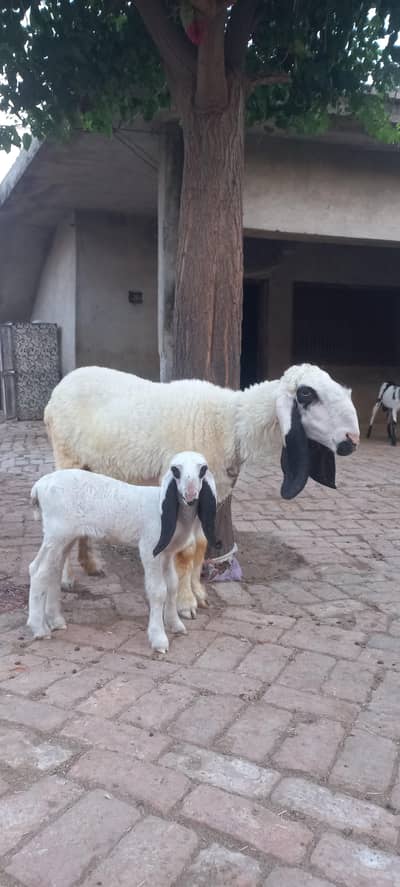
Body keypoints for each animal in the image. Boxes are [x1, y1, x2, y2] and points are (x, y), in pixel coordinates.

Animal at [27, 451, 218, 653]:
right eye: (175, 470)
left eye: (203, 469)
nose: (190, 494)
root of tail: (39, 486)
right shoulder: (150, 549)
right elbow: (158, 591)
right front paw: (159, 638)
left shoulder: (167, 553)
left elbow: (172, 585)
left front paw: (175, 624)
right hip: (56, 533)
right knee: (38, 571)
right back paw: (39, 628)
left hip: (65, 537)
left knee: (53, 570)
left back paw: (55, 620)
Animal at [44, 363, 360, 618]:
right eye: (307, 394)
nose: (352, 440)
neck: (230, 423)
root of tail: (59, 388)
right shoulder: (185, 490)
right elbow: (187, 551)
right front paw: (186, 604)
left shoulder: (209, 493)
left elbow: (201, 546)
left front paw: (199, 594)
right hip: (66, 455)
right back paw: (67, 578)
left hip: (88, 468)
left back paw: (91, 565)